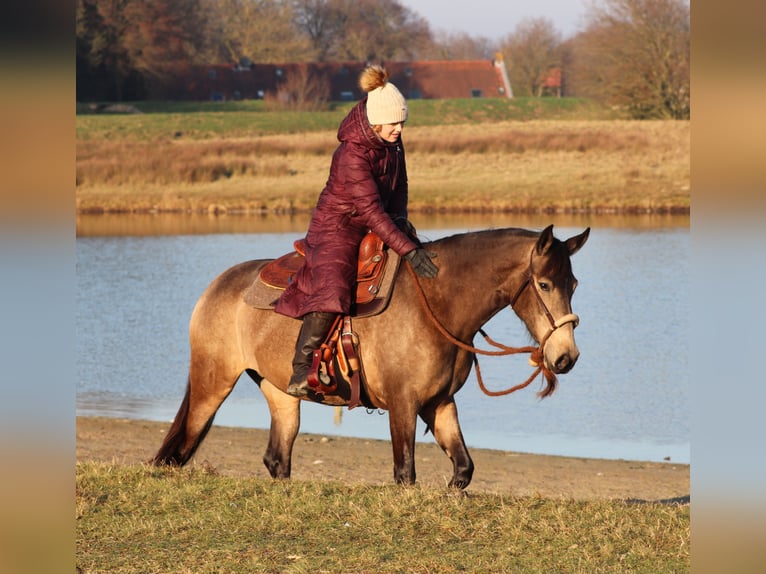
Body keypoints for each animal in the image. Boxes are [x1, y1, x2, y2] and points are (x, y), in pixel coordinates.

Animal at [153, 225, 592, 490]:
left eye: (573, 283)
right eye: (545, 284)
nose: (566, 357)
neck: (436, 305)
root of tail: (218, 285)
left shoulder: (439, 403)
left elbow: (463, 469)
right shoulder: (403, 404)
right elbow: (405, 473)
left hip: (280, 394)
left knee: (277, 458)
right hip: (212, 384)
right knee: (178, 449)